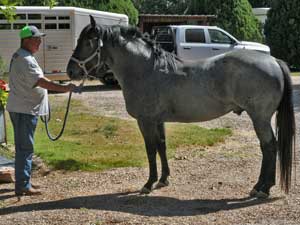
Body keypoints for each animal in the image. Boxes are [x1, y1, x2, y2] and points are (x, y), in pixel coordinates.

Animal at [66, 16, 296, 199]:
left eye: (87, 41)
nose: (70, 71)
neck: (146, 70)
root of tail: (273, 61)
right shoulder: (158, 121)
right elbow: (162, 146)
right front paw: (163, 180)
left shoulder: (145, 121)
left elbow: (150, 150)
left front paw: (148, 184)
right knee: (270, 147)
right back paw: (262, 187)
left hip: (259, 117)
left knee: (268, 147)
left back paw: (261, 188)